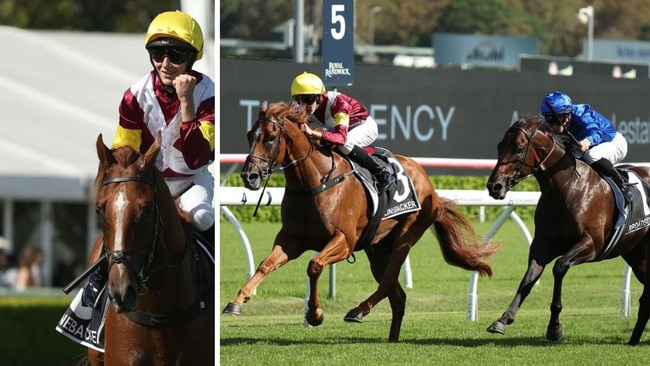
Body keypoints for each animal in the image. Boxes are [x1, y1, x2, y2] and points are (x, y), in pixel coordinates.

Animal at [220, 101, 498, 342]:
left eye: (270, 137)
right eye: (249, 135)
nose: (249, 176)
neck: (316, 181)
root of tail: (431, 188)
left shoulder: (345, 241)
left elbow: (314, 265)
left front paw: (315, 314)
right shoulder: (291, 240)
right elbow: (265, 265)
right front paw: (237, 301)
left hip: (407, 233)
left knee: (388, 281)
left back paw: (358, 311)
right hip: (377, 249)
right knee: (397, 295)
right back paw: (391, 340)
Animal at [484, 116, 648, 344]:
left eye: (518, 148)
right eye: (500, 146)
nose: (494, 186)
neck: (567, 188)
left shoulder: (593, 245)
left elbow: (559, 266)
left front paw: (554, 327)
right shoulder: (541, 245)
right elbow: (528, 280)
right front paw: (503, 319)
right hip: (635, 253)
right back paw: (634, 338)